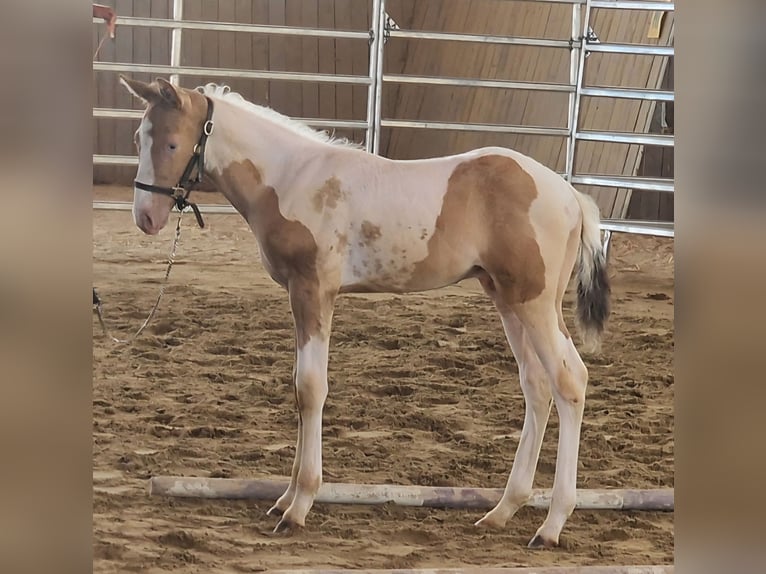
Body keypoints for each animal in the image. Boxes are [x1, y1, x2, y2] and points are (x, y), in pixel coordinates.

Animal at [119, 76, 610, 548]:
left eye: (171, 144)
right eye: (138, 138)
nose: (146, 217)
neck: (289, 178)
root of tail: (571, 196)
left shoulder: (314, 290)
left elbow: (310, 389)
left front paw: (299, 507)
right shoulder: (299, 295)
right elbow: (298, 389)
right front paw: (283, 500)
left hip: (534, 302)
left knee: (569, 381)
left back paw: (551, 525)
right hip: (507, 298)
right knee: (537, 385)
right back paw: (502, 511)